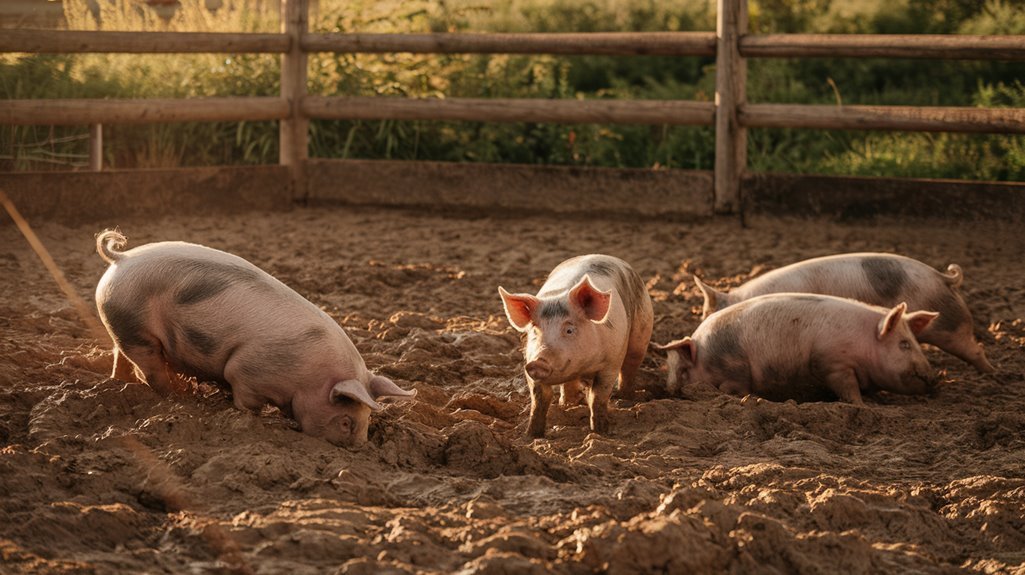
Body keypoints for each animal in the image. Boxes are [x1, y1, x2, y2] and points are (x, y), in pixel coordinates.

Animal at [93, 230, 415, 448]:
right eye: (346, 420)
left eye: (367, 419)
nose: (360, 448)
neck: (307, 377)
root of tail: (121, 259)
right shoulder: (245, 370)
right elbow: (246, 400)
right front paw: (251, 419)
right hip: (137, 329)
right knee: (150, 371)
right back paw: (179, 398)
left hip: (121, 325)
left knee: (121, 356)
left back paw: (119, 382)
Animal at [498, 254, 653, 438]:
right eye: (535, 330)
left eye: (569, 330)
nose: (538, 362)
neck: (583, 366)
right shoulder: (528, 364)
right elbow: (539, 399)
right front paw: (531, 435)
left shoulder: (611, 362)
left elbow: (598, 396)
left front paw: (600, 432)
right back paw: (567, 404)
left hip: (642, 332)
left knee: (630, 366)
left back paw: (625, 399)